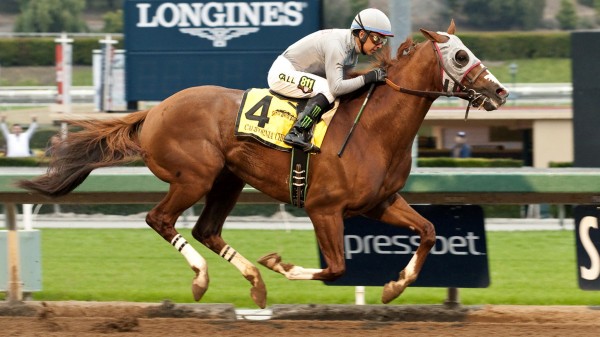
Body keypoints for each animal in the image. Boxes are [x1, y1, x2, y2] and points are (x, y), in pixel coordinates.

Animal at [19, 22, 506, 308]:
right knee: (161, 220)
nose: (499, 92)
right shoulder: (324, 209)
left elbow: (428, 231)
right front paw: (279, 263)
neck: (374, 128)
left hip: (228, 180)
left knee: (205, 230)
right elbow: (335, 268)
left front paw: (394, 286)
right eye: (461, 56)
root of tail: (155, 111)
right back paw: (204, 279)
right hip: (194, 177)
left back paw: (254, 281)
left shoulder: (379, 202)